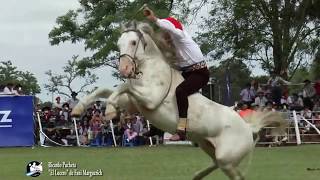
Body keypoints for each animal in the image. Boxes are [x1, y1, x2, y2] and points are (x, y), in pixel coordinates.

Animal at [72, 21, 288, 180]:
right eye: (119, 44)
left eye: (133, 42)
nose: (124, 69)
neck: (151, 69)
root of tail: (248, 127)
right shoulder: (134, 103)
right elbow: (105, 89)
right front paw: (78, 109)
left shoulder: (149, 99)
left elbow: (124, 87)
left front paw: (109, 110)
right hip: (208, 146)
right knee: (220, 166)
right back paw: (196, 175)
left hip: (226, 156)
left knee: (235, 175)